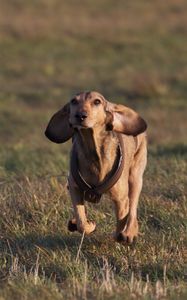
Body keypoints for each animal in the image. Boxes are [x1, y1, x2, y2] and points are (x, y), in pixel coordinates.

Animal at [45, 91, 148, 244]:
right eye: (73, 101)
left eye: (97, 102)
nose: (80, 115)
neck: (93, 150)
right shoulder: (74, 187)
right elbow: (81, 221)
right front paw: (88, 225)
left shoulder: (121, 199)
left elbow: (122, 220)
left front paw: (122, 235)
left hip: (135, 177)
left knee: (133, 207)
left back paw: (130, 232)